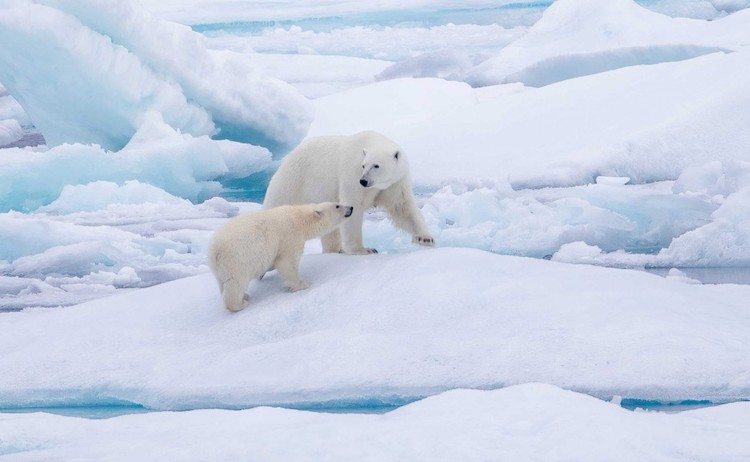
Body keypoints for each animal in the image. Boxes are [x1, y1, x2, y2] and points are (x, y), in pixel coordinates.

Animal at [208, 202, 353, 312]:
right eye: (337, 205)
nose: (351, 208)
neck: (299, 218)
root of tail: (214, 250)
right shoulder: (290, 236)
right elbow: (287, 262)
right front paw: (302, 284)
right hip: (237, 259)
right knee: (235, 282)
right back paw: (240, 303)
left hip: (221, 268)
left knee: (222, 283)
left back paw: (245, 296)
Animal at [263, 130, 435, 255]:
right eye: (364, 165)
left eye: (376, 165)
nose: (364, 181)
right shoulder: (352, 174)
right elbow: (354, 206)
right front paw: (364, 250)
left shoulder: (394, 183)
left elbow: (402, 208)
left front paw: (426, 238)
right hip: (292, 182)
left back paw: (336, 250)